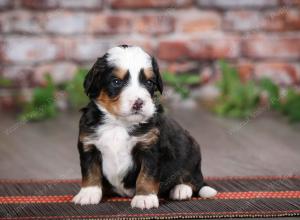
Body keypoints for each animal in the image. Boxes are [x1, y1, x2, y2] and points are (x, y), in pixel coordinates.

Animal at [73, 45, 217, 210]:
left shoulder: (151, 149)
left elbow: (146, 176)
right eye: (116, 82)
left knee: (193, 179)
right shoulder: (89, 145)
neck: (119, 124)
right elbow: (90, 172)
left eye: (149, 82)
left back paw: (180, 189)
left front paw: (144, 198)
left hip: (191, 153)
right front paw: (88, 194)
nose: (138, 103)